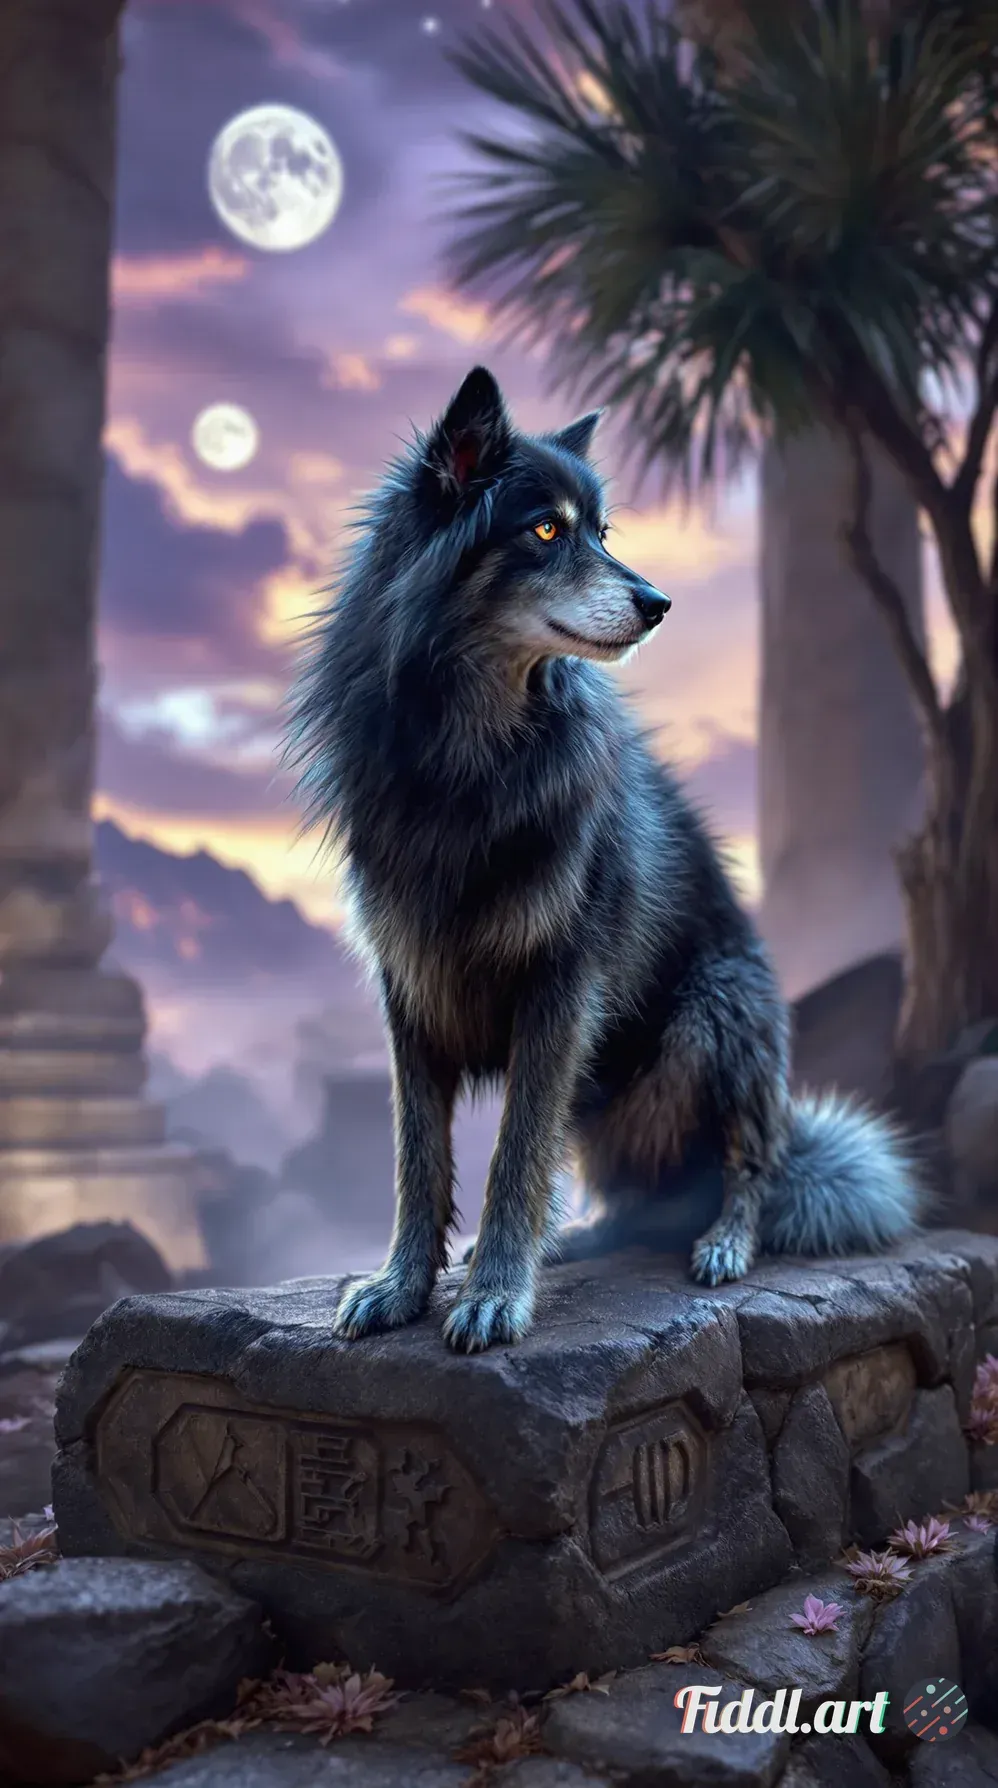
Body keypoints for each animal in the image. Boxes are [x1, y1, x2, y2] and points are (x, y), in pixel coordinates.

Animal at [286, 366, 923, 1354]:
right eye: (546, 530)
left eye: (602, 533)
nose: (660, 604)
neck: (470, 754)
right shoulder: (409, 984)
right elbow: (418, 1159)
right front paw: (401, 1286)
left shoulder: (559, 987)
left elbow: (516, 1156)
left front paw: (496, 1295)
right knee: (636, 1198)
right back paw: (587, 1238)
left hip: (720, 1012)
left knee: (752, 1167)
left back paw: (723, 1243)